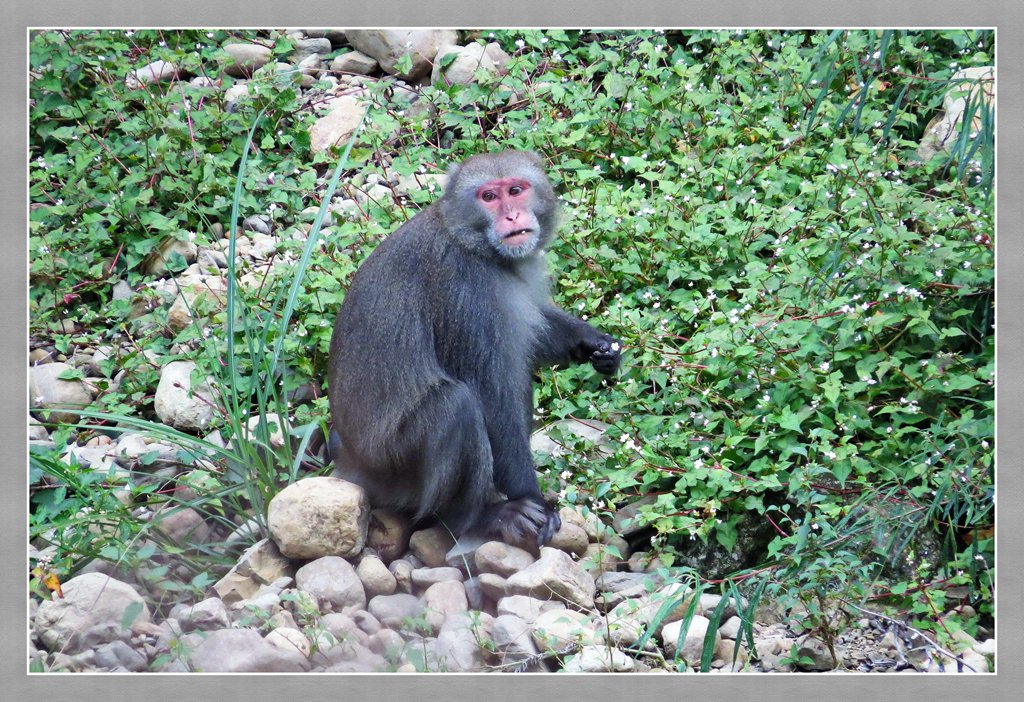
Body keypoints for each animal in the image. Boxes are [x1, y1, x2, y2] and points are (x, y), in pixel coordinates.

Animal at [327, 152, 618, 548]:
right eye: (489, 197)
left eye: (516, 190)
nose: (512, 216)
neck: (474, 243)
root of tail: (351, 463)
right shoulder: (466, 292)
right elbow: (490, 393)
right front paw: (531, 498)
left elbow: (533, 332)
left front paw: (592, 343)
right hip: (394, 470)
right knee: (456, 406)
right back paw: (480, 515)